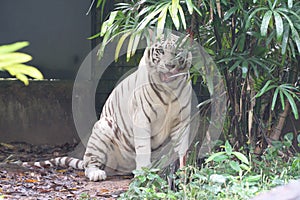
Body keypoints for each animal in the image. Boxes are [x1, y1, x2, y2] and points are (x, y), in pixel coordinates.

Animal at [22, 33, 193, 182]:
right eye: (161, 51)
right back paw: (97, 173)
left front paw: (184, 174)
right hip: (103, 127)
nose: (170, 65)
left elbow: (183, 150)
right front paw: (144, 174)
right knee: (89, 163)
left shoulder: (182, 121)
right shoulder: (142, 118)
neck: (169, 90)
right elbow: (143, 148)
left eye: (177, 52)